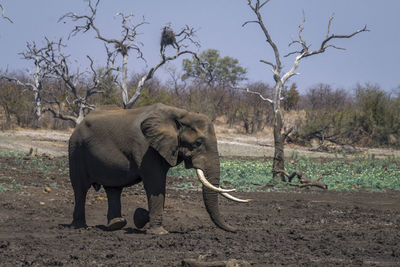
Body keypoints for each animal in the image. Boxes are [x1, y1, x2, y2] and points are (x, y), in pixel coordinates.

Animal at [69, 102, 250, 234]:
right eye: (198, 143)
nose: (236, 229)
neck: (181, 114)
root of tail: (78, 125)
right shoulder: (146, 147)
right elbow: (155, 183)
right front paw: (158, 232)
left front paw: (141, 217)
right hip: (76, 150)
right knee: (80, 189)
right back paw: (80, 227)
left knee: (113, 189)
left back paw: (116, 224)